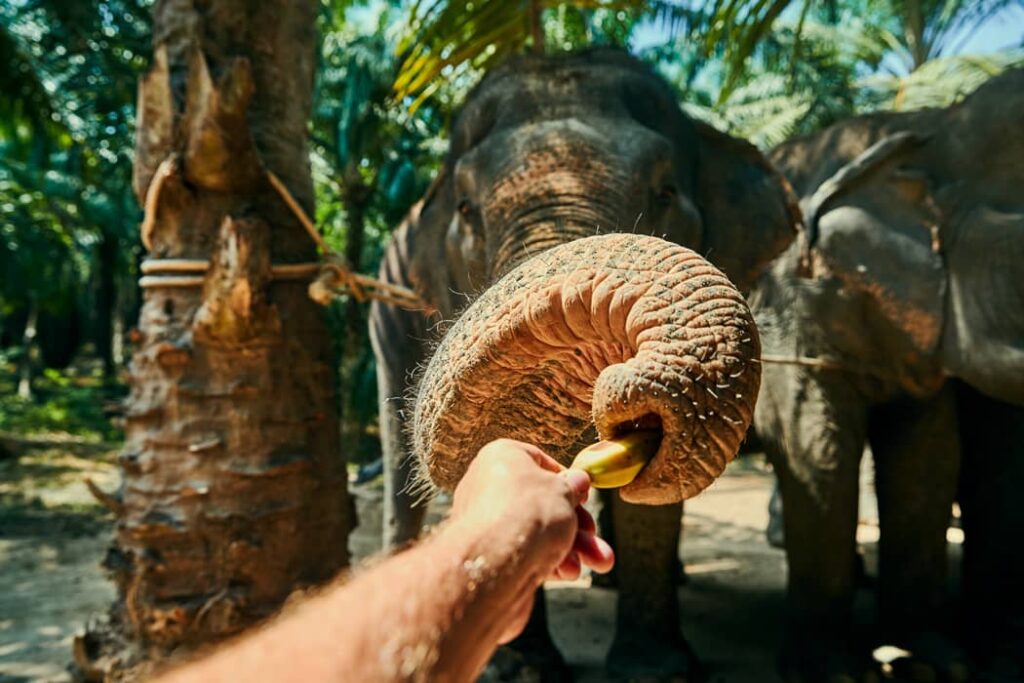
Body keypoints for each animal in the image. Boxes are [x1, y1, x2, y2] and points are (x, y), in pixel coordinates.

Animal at [751, 67, 1024, 680]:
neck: (929, 126)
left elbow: (929, 457)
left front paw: (930, 657)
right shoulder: (788, 300)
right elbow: (817, 448)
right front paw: (832, 670)